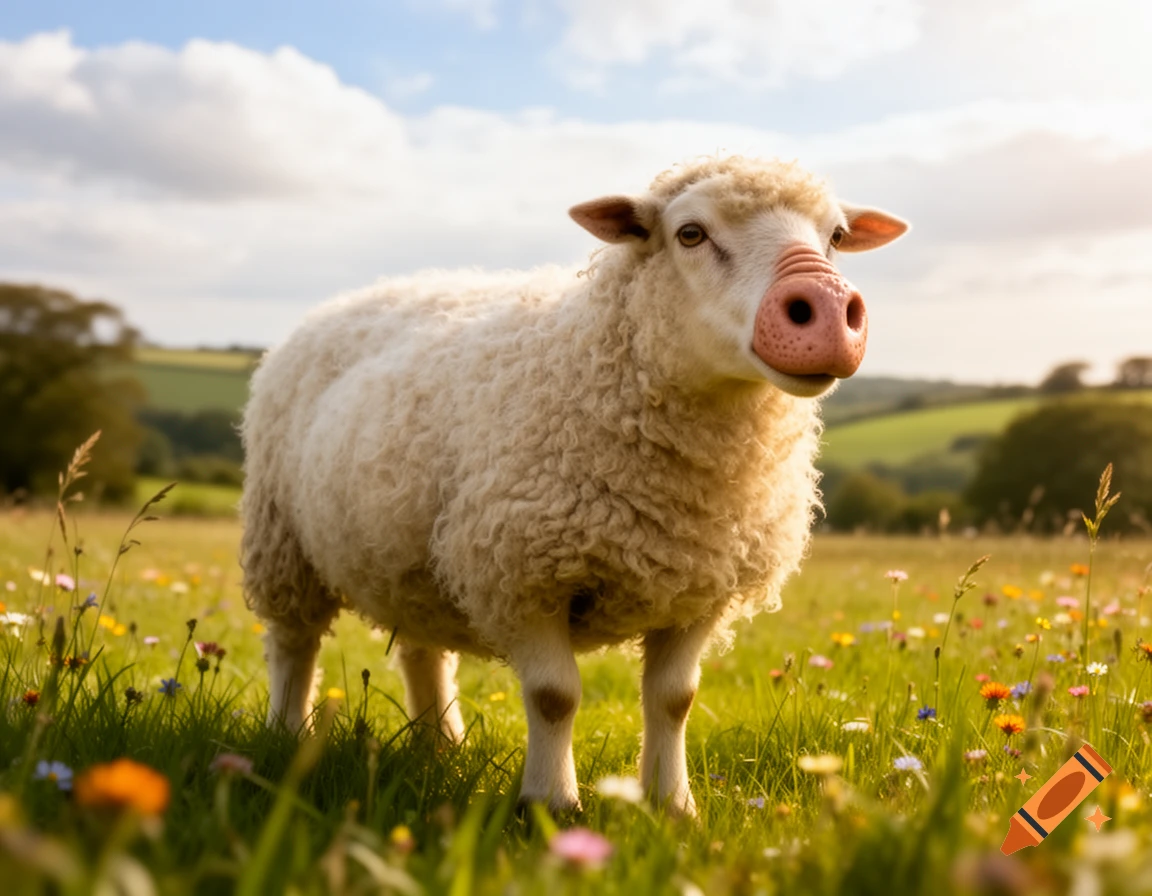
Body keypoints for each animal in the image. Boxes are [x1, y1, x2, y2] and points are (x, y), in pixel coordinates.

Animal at [240, 155, 907, 816]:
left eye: (836, 237)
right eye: (690, 233)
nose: (826, 301)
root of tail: (356, 296)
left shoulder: (698, 590)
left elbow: (675, 699)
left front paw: (672, 806)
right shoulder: (521, 574)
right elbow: (554, 696)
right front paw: (551, 805)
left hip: (410, 557)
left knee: (420, 648)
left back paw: (441, 744)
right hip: (283, 542)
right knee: (294, 644)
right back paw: (286, 735)